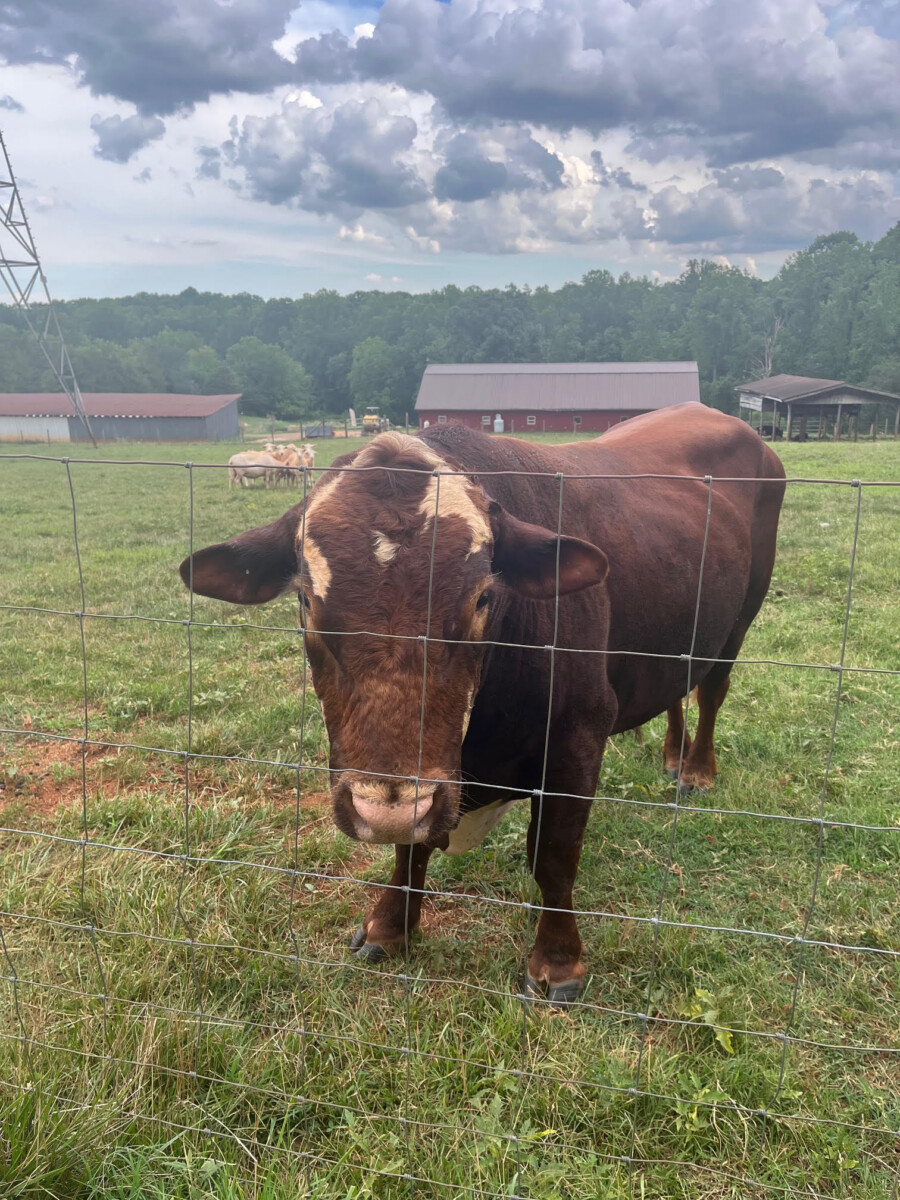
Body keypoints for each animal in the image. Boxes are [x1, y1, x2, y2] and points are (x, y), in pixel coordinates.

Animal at [184, 404, 785, 1004]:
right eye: (306, 599)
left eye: (483, 597)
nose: (382, 810)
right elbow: (411, 846)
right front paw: (391, 925)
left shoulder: (579, 735)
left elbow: (554, 855)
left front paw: (558, 960)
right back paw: (671, 755)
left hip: (741, 618)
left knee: (712, 689)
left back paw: (696, 769)